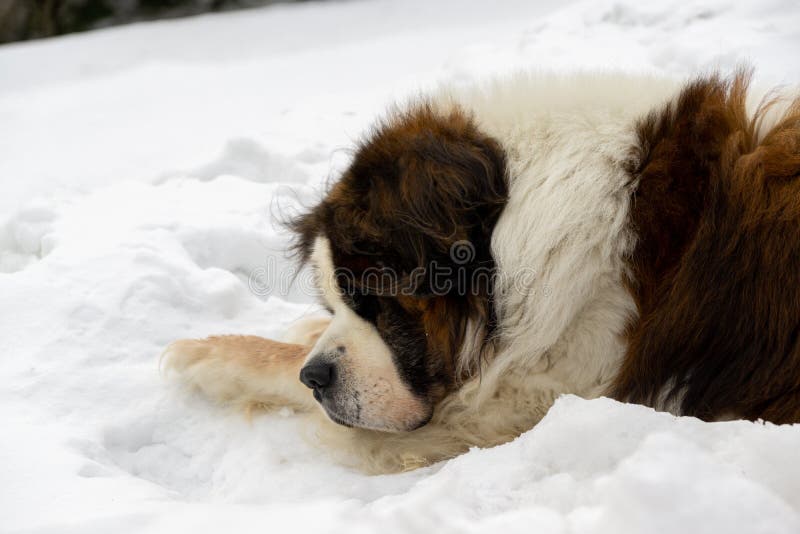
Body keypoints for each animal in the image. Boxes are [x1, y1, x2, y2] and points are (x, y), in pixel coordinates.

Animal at [162, 69, 800, 476]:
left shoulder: (535, 397)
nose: (316, 377)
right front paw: (295, 336)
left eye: (376, 302)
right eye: (335, 302)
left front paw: (213, 356)